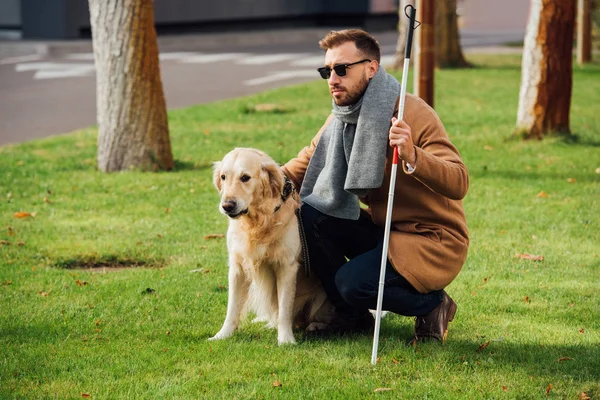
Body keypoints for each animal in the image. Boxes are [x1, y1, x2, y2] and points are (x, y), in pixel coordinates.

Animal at [210, 147, 332, 344]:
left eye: (245, 177)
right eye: (223, 177)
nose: (227, 205)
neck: (258, 223)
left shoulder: (286, 266)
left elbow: (284, 309)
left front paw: (285, 340)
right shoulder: (237, 267)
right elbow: (232, 308)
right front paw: (222, 335)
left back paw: (316, 325)